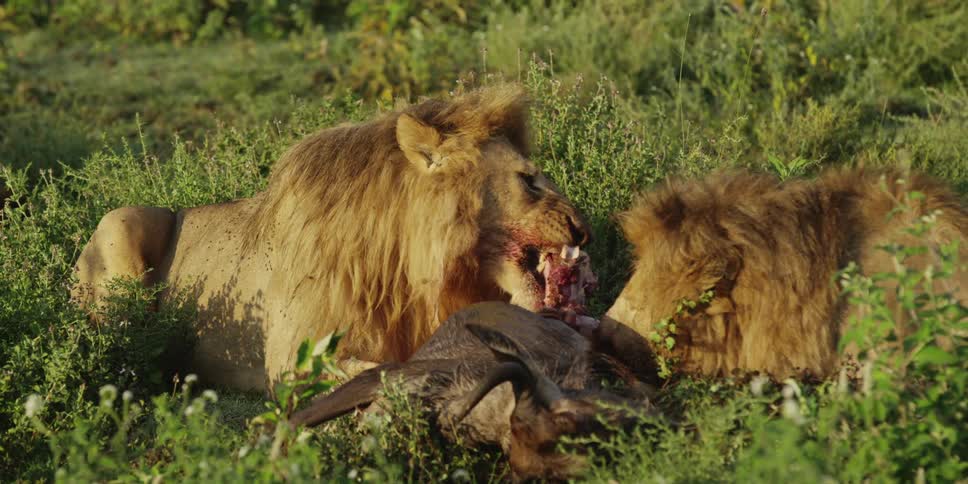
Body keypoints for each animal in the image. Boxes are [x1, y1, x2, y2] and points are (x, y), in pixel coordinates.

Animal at [72, 85, 591, 392]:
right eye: (530, 180)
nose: (582, 231)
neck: (410, 265)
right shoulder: (292, 357)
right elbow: (375, 371)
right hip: (124, 220)